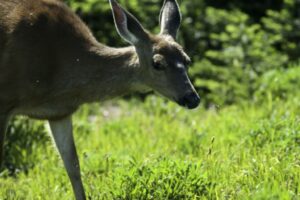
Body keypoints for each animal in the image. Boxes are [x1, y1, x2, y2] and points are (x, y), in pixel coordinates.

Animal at [0, 0, 202, 198]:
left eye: (187, 60)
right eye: (157, 63)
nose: (192, 98)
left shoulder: (59, 112)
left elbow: (73, 166)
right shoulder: (5, 99)